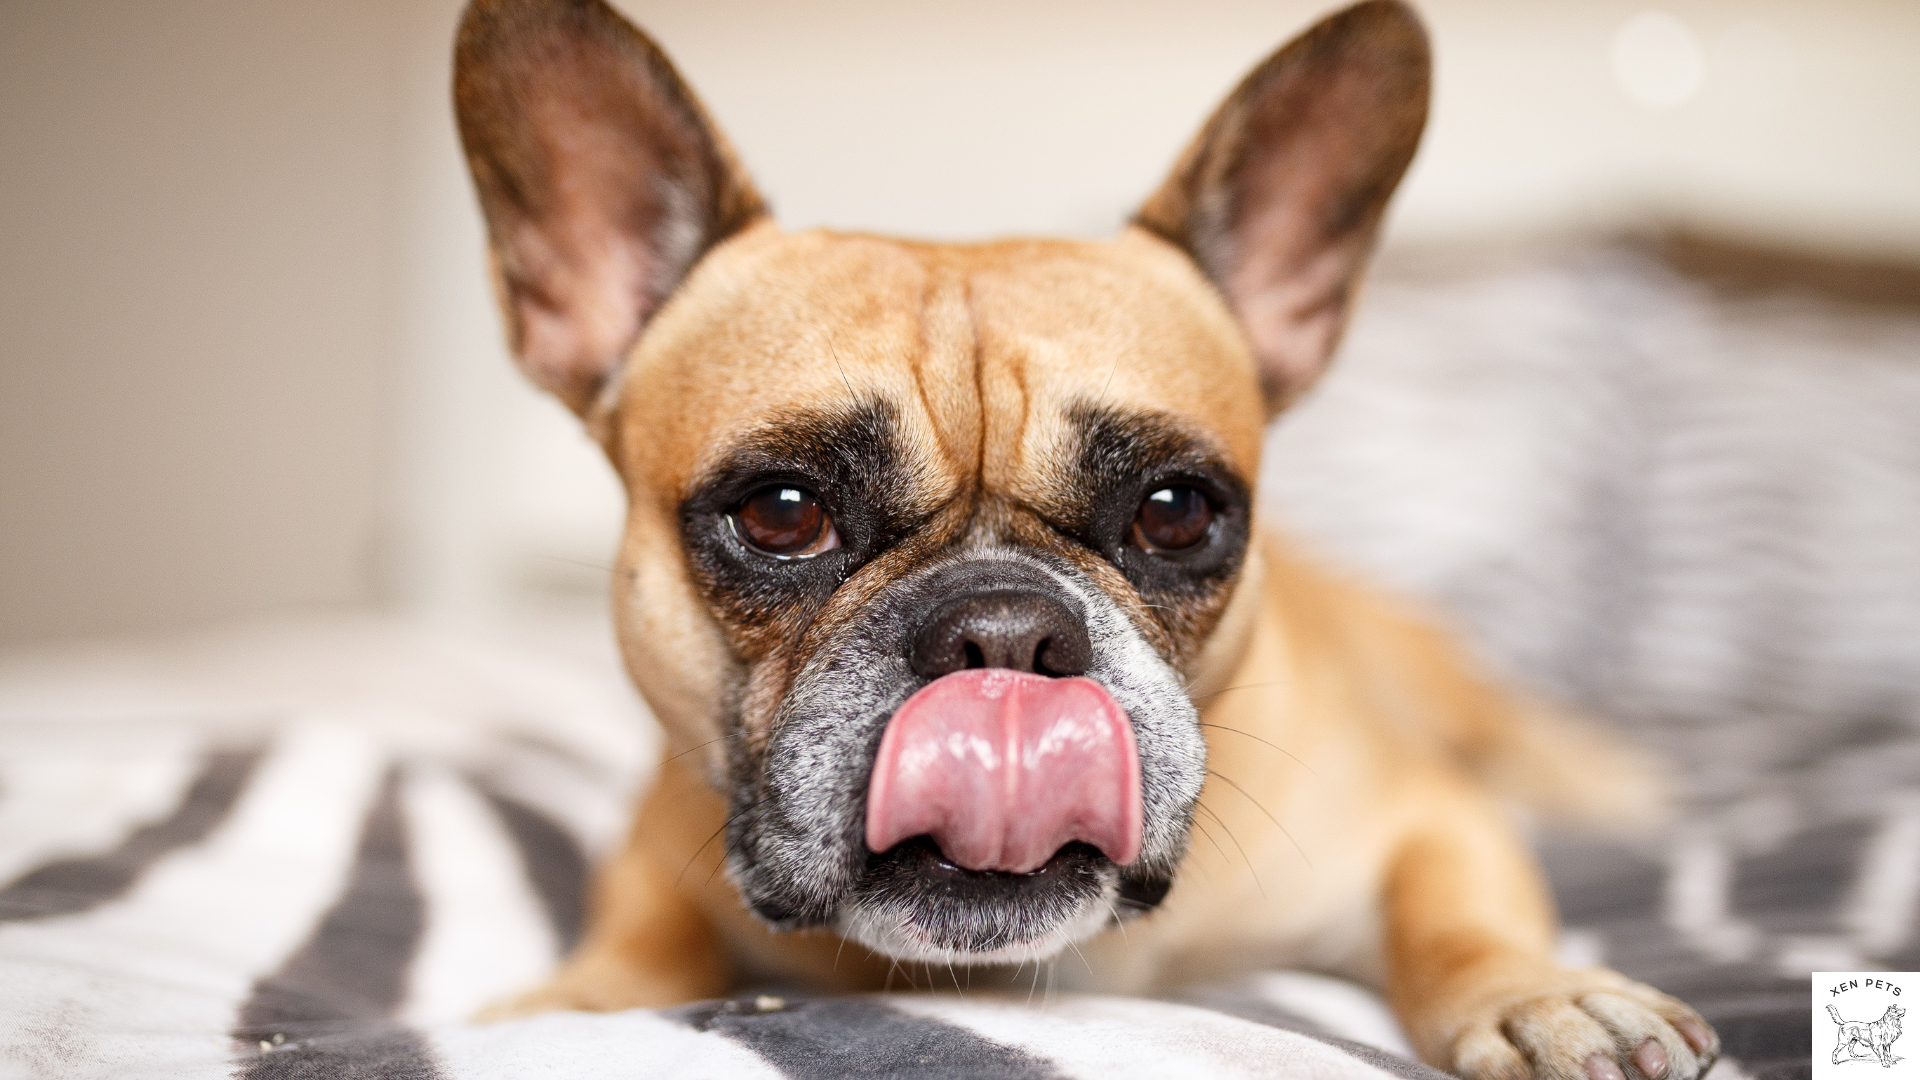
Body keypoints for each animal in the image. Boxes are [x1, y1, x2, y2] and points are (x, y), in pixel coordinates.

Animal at [449, 2, 1728, 1076]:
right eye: (781, 511)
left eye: (1177, 511)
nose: (1006, 632)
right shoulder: (652, 849)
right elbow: (636, 941)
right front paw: (567, 1006)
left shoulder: (1427, 818)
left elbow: (1461, 917)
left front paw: (1536, 994)